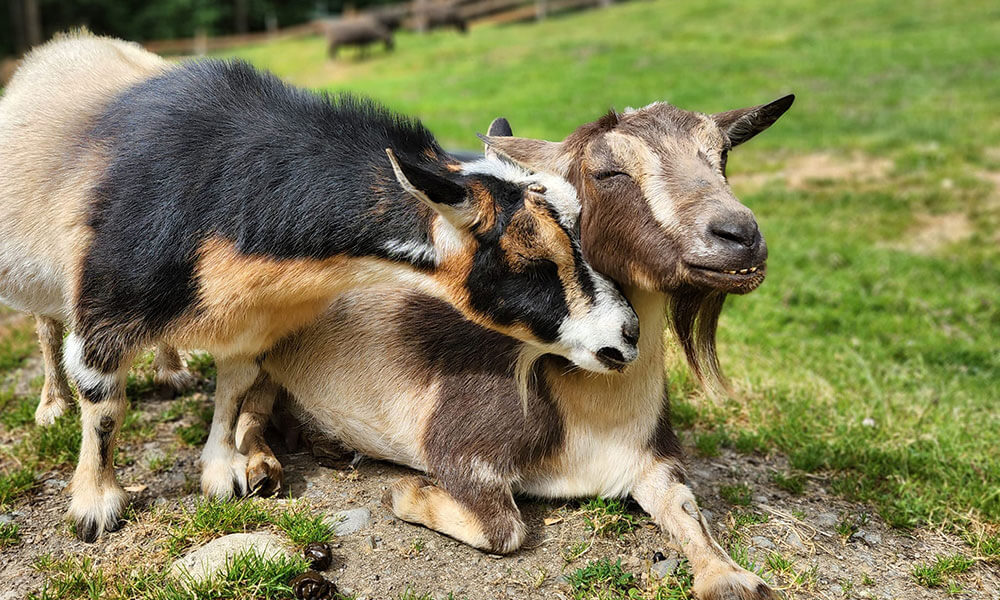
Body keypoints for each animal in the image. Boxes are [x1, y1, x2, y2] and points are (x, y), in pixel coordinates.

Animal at [0, 33, 639, 542]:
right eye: (530, 257)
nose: (627, 334)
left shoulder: (252, 323)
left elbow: (231, 391)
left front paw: (220, 472)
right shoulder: (107, 305)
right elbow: (105, 405)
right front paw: (94, 506)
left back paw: (172, 369)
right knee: (47, 326)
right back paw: (52, 406)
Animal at [240, 97, 794, 600]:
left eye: (723, 155)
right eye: (608, 170)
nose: (740, 235)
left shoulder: (653, 462)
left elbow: (686, 508)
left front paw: (730, 578)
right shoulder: (461, 446)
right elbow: (504, 529)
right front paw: (407, 494)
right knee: (252, 403)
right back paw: (261, 467)